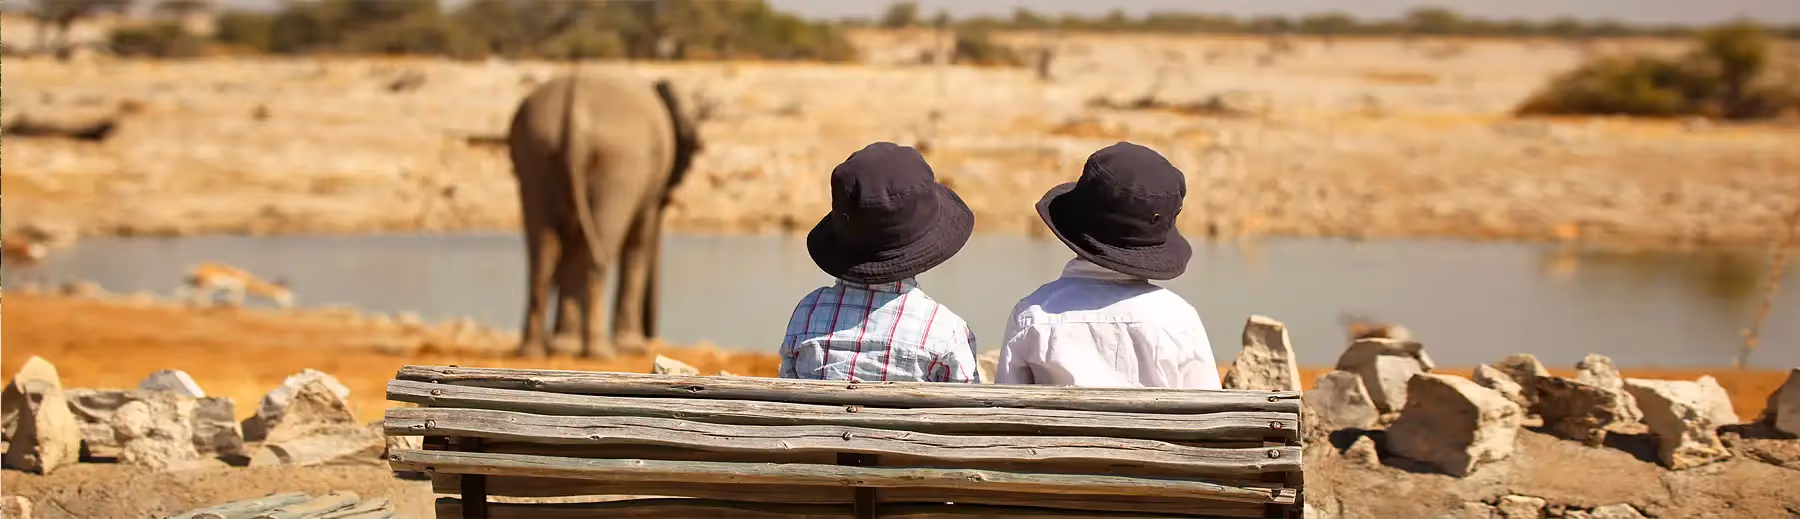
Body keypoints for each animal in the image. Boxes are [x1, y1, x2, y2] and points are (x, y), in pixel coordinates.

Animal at [506, 69, 704, 359]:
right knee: (597, 253)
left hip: (535, 149)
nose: (651, 339)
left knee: (543, 255)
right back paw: (600, 351)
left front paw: (564, 345)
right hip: (618, 163)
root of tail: (575, 109)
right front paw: (631, 347)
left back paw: (535, 351)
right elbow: (638, 243)